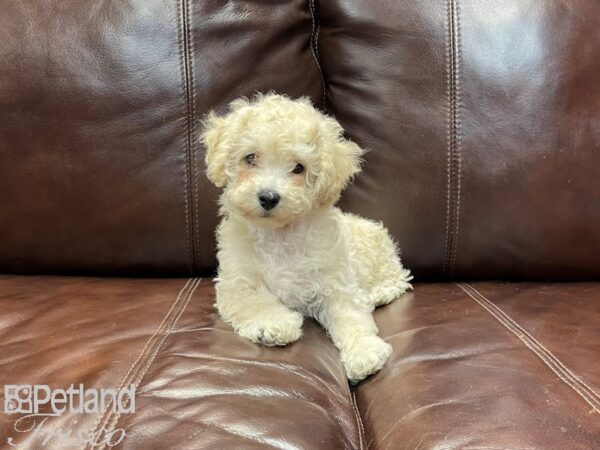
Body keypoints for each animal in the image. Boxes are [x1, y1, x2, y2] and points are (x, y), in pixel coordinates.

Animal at [202, 93, 412, 382]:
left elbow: (352, 316)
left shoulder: (336, 281)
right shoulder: (237, 283)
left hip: (384, 259)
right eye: (250, 158)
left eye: (298, 168)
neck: (279, 233)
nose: (268, 197)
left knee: (397, 279)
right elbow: (256, 302)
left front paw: (364, 352)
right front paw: (276, 325)